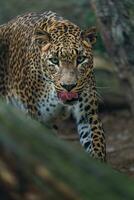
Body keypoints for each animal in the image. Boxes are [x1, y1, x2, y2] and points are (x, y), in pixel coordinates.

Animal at [0, 10, 105, 161]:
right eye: (54, 60)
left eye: (80, 59)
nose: (69, 86)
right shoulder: (34, 116)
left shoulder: (88, 113)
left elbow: (96, 143)